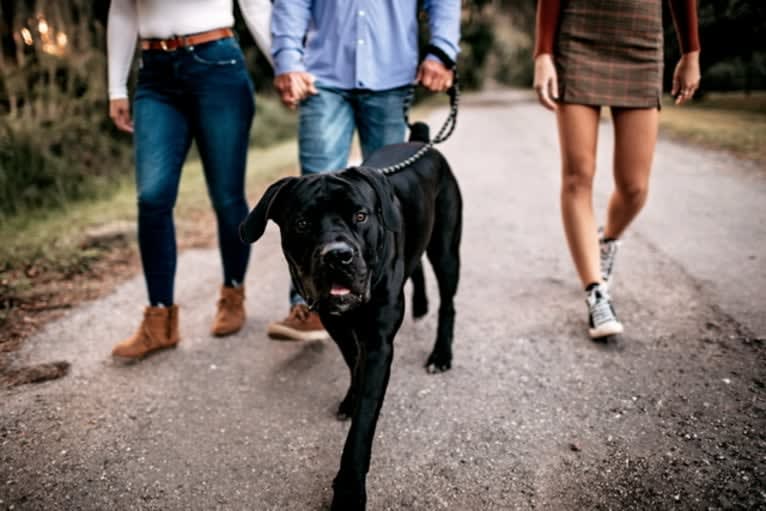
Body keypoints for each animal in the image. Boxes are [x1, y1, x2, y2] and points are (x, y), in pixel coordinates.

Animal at [242, 137, 462, 511]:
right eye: (302, 223)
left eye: (360, 216)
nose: (337, 256)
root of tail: (422, 142)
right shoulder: (338, 327)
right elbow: (353, 365)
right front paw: (350, 398)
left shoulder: (378, 344)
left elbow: (362, 424)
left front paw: (348, 490)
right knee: (415, 266)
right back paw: (420, 305)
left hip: (446, 249)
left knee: (448, 304)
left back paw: (440, 354)